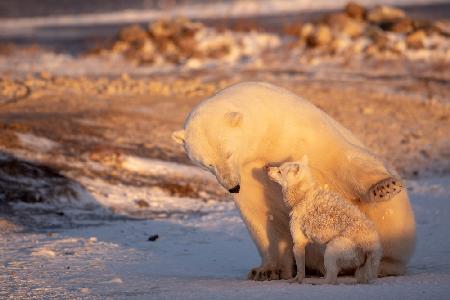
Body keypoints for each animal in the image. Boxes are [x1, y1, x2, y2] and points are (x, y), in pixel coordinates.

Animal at [171, 81, 414, 278]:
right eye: (207, 163)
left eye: (229, 153)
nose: (232, 186)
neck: (267, 134)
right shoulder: (249, 172)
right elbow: (261, 213)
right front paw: (267, 271)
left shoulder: (298, 132)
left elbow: (340, 159)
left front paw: (385, 187)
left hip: (390, 222)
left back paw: (380, 265)